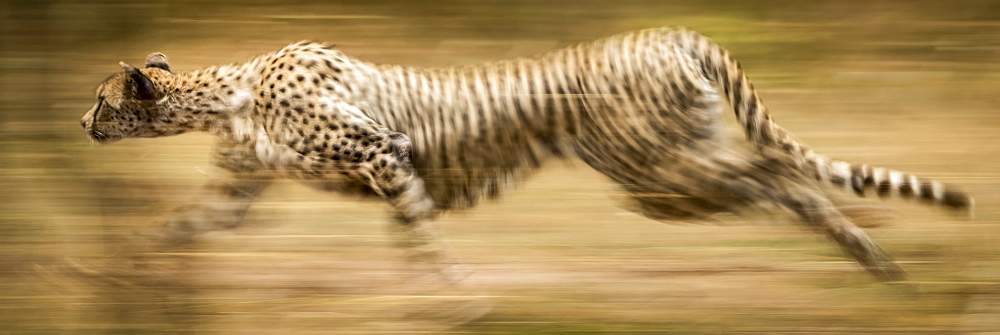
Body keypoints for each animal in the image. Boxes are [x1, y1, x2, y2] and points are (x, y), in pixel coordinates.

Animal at [82, 26, 972, 284]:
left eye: (100, 97)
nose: (83, 122)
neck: (227, 89)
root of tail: (664, 30)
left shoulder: (385, 153)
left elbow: (422, 238)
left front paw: (454, 299)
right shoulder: (242, 194)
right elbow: (178, 227)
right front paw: (109, 268)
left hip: (657, 173)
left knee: (779, 173)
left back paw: (872, 239)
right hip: (666, 177)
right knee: (775, 180)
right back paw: (872, 252)